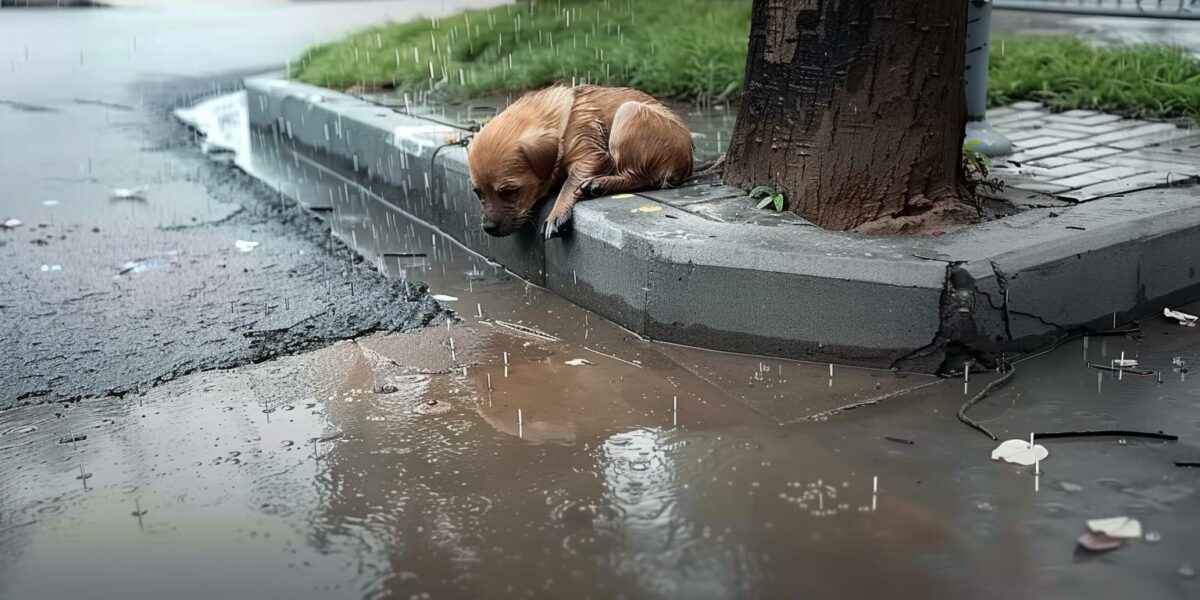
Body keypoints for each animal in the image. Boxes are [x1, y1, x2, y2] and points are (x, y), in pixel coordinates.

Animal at [468, 85, 696, 238]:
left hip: (629, 114)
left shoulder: (590, 155)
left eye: (510, 191)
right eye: (477, 193)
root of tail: (687, 161)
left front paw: (556, 214)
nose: (488, 228)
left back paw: (600, 184)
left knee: (644, 177)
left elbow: (569, 184)